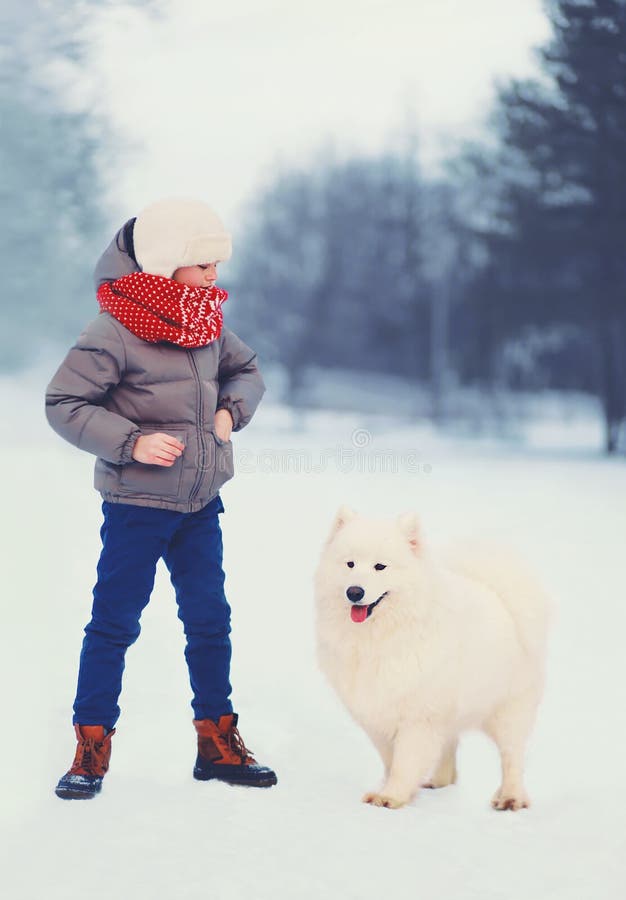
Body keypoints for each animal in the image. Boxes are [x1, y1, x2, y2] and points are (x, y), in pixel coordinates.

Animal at [314, 510, 548, 812]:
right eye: (350, 564)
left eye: (380, 567)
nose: (354, 591)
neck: (382, 637)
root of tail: (500, 598)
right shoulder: (377, 713)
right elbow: (391, 759)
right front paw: (391, 789)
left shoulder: (418, 716)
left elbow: (405, 762)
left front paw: (390, 797)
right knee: (448, 748)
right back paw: (439, 781)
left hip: (508, 710)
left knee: (512, 756)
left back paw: (510, 797)